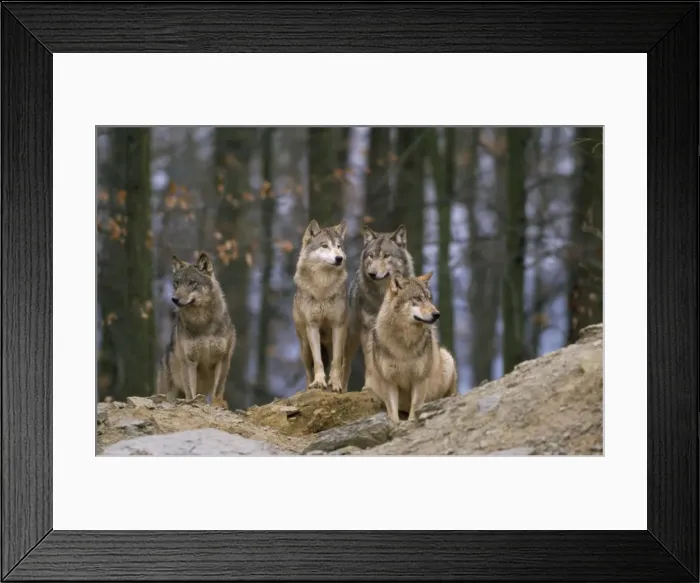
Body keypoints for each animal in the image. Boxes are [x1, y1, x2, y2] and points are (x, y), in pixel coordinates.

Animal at [156, 252, 236, 408]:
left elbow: (217, 391)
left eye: (192, 282)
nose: (174, 299)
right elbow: (191, 393)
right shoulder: (189, 361)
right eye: (177, 283)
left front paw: (217, 405)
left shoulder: (222, 358)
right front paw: (192, 403)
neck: (202, 322)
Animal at [292, 219, 349, 393]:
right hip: (304, 348)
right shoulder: (312, 326)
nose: (339, 258)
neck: (323, 288)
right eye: (324, 246)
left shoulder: (338, 326)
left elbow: (336, 362)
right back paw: (309, 387)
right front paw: (319, 382)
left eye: (338, 246)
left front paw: (335, 384)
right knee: (308, 372)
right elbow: (318, 361)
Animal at [343, 224, 415, 392]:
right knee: (344, 365)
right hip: (350, 336)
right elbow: (370, 362)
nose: (372, 274)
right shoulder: (369, 330)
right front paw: (369, 387)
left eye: (386, 256)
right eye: (371, 256)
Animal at [368, 271, 457, 422]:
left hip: (448, 359)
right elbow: (393, 415)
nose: (437, 314)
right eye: (417, 298)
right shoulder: (389, 382)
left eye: (429, 299)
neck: (404, 342)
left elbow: (414, 411)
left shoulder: (419, 381)